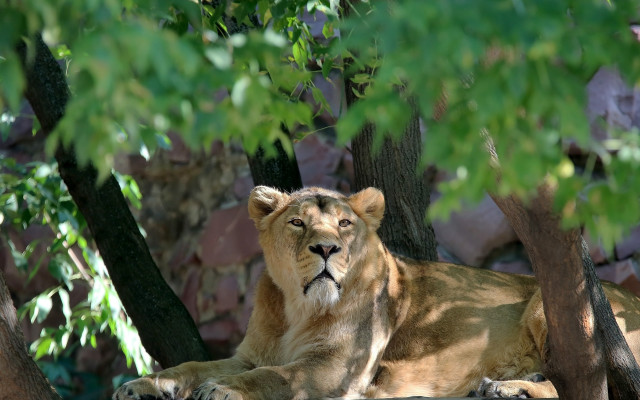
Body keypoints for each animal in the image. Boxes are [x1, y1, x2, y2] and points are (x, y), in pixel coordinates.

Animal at [114, 186, 640, 400]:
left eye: (344, 223)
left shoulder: (337, 366)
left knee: (583, 386)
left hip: (551, 304)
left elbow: (277, 378)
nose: (326, 248)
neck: (297, 308)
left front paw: (224, 391)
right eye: (298, 223)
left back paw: (507, 389)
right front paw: (143, 385)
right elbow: (191, 365)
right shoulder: (249, 354)